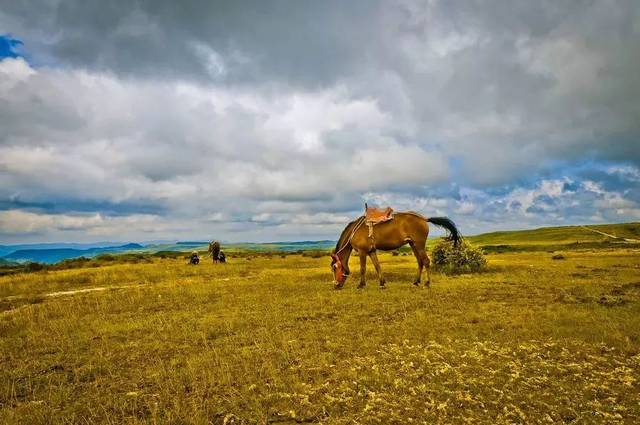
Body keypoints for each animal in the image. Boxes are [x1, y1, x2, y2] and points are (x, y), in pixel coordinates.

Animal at [330, 211, 460, 288]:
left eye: (335, 267)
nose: (336, 285)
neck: (354, 231)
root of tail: (424, 219)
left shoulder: (362, 252)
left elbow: (363, 269)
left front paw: (361, 285)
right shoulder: (371, 251)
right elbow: (377, 266)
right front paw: (382, 283)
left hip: (419, 245)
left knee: (426, 261)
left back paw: (427, 283)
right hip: (413, 245)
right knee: (420, 262)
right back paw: (416, 282)